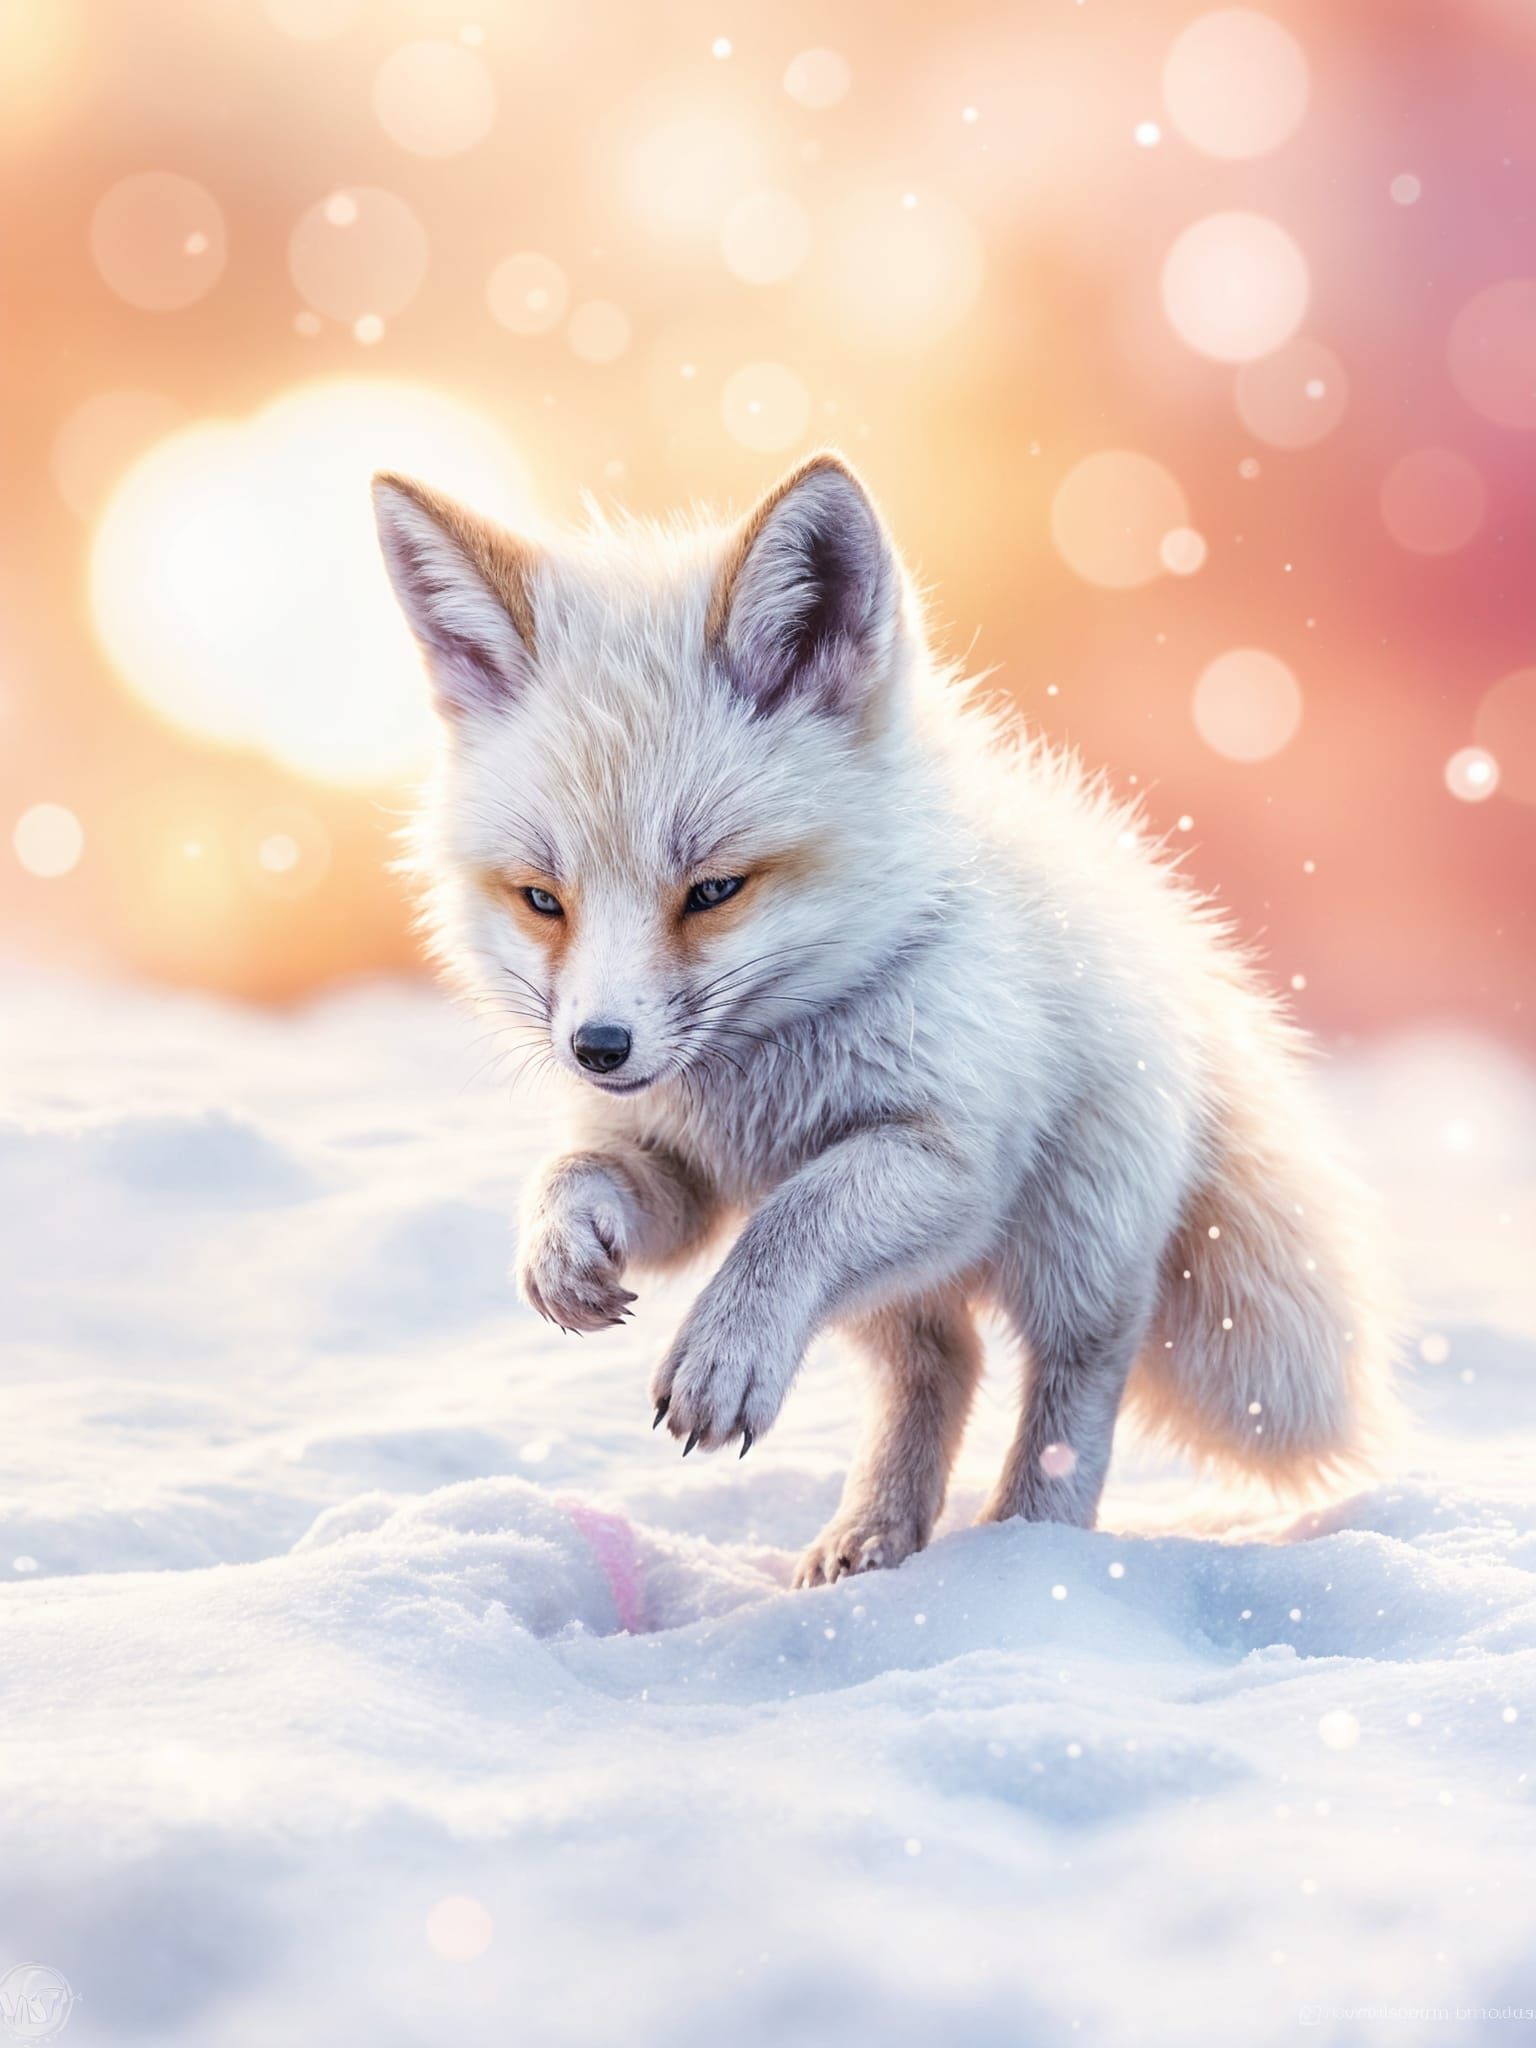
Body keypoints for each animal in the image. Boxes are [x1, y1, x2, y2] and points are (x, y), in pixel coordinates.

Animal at [372, 450, 1394, 1587]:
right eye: (542, 899)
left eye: (715, 890)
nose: (599, 1050)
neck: (766, 1084)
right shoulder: (686, 1174)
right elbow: (582, 1173)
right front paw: (561, 1248)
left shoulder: (948, 1159)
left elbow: (789, 1223)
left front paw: (723, 1347)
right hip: (889, 1295)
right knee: (943, 1361)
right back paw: (876, 1537)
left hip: (1074, 1247)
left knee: (1071, 1382)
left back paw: (1027, 1546)